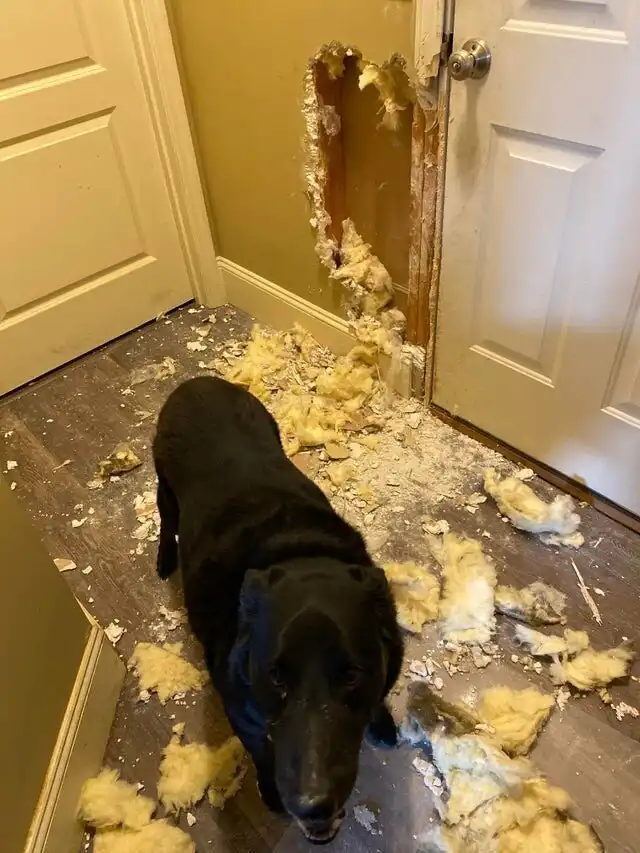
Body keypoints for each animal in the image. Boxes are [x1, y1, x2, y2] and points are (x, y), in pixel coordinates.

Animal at [152, 376, 403, 843]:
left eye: (352, 676)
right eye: (276, 678)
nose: (314, 805)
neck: (296, 551)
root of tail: (197, 381)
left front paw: (381, 720)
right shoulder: (243, 715)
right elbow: (263, 755)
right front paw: (270, 794)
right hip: (165, 489)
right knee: (166, 523)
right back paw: (163, 559)